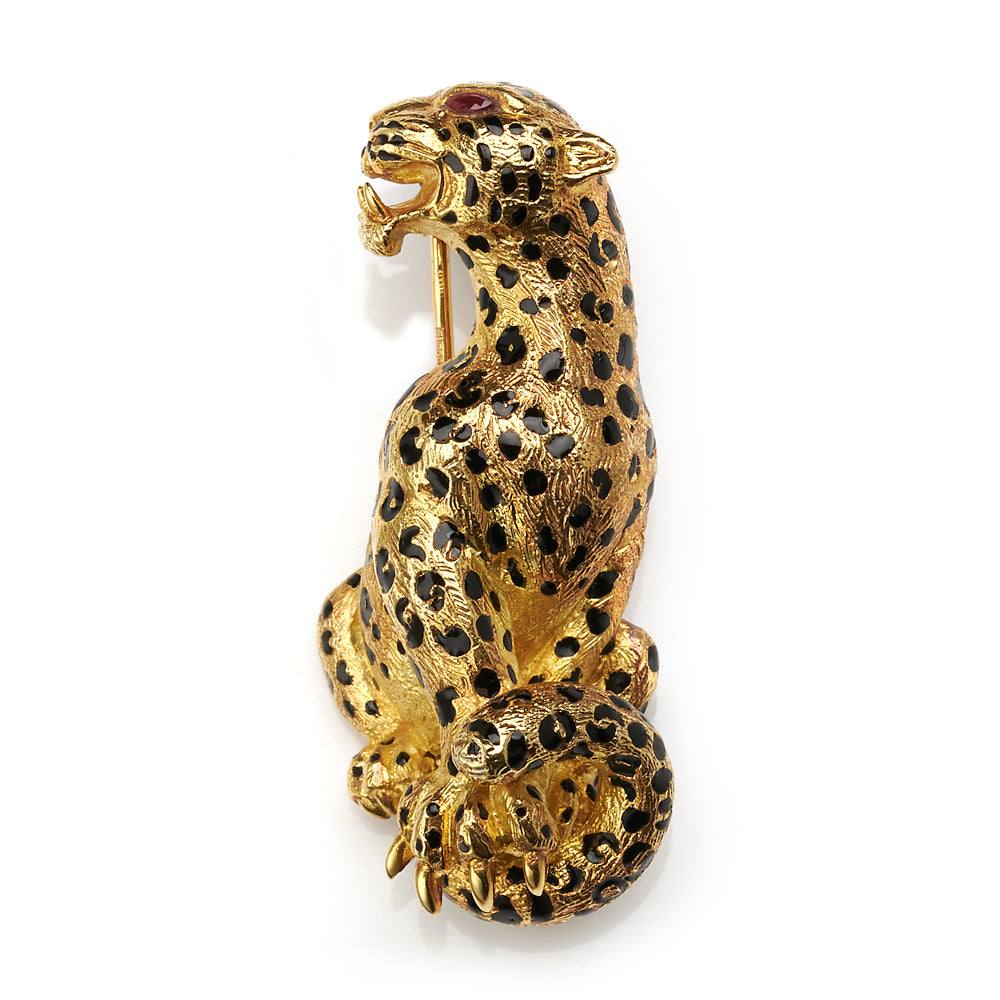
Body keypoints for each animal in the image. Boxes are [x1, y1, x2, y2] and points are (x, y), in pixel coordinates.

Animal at [318, 82, 673, 925]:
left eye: (474, 100)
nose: (379, 124)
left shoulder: (616, 560)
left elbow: (537, 680)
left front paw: (527, 823)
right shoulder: (424, 529)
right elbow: (472, 676)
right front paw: (488, 824)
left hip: (640, 644)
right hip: (336, 607)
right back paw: (391, 769)